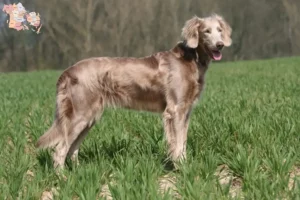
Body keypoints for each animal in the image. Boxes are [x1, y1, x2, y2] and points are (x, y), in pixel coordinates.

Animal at [35, 13, 232, 168]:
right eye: (206, 31)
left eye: (219, 30)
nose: (220, 44)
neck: (191, 58)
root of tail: (67, 72)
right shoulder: (175, 110)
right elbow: (176, 143)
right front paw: (180, 168)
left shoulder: (186, 111)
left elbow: (182, 141)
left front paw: (185, 165)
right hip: (79, 115)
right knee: (60, 150)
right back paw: (63, 180)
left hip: (89, 118)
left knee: (72, 150)